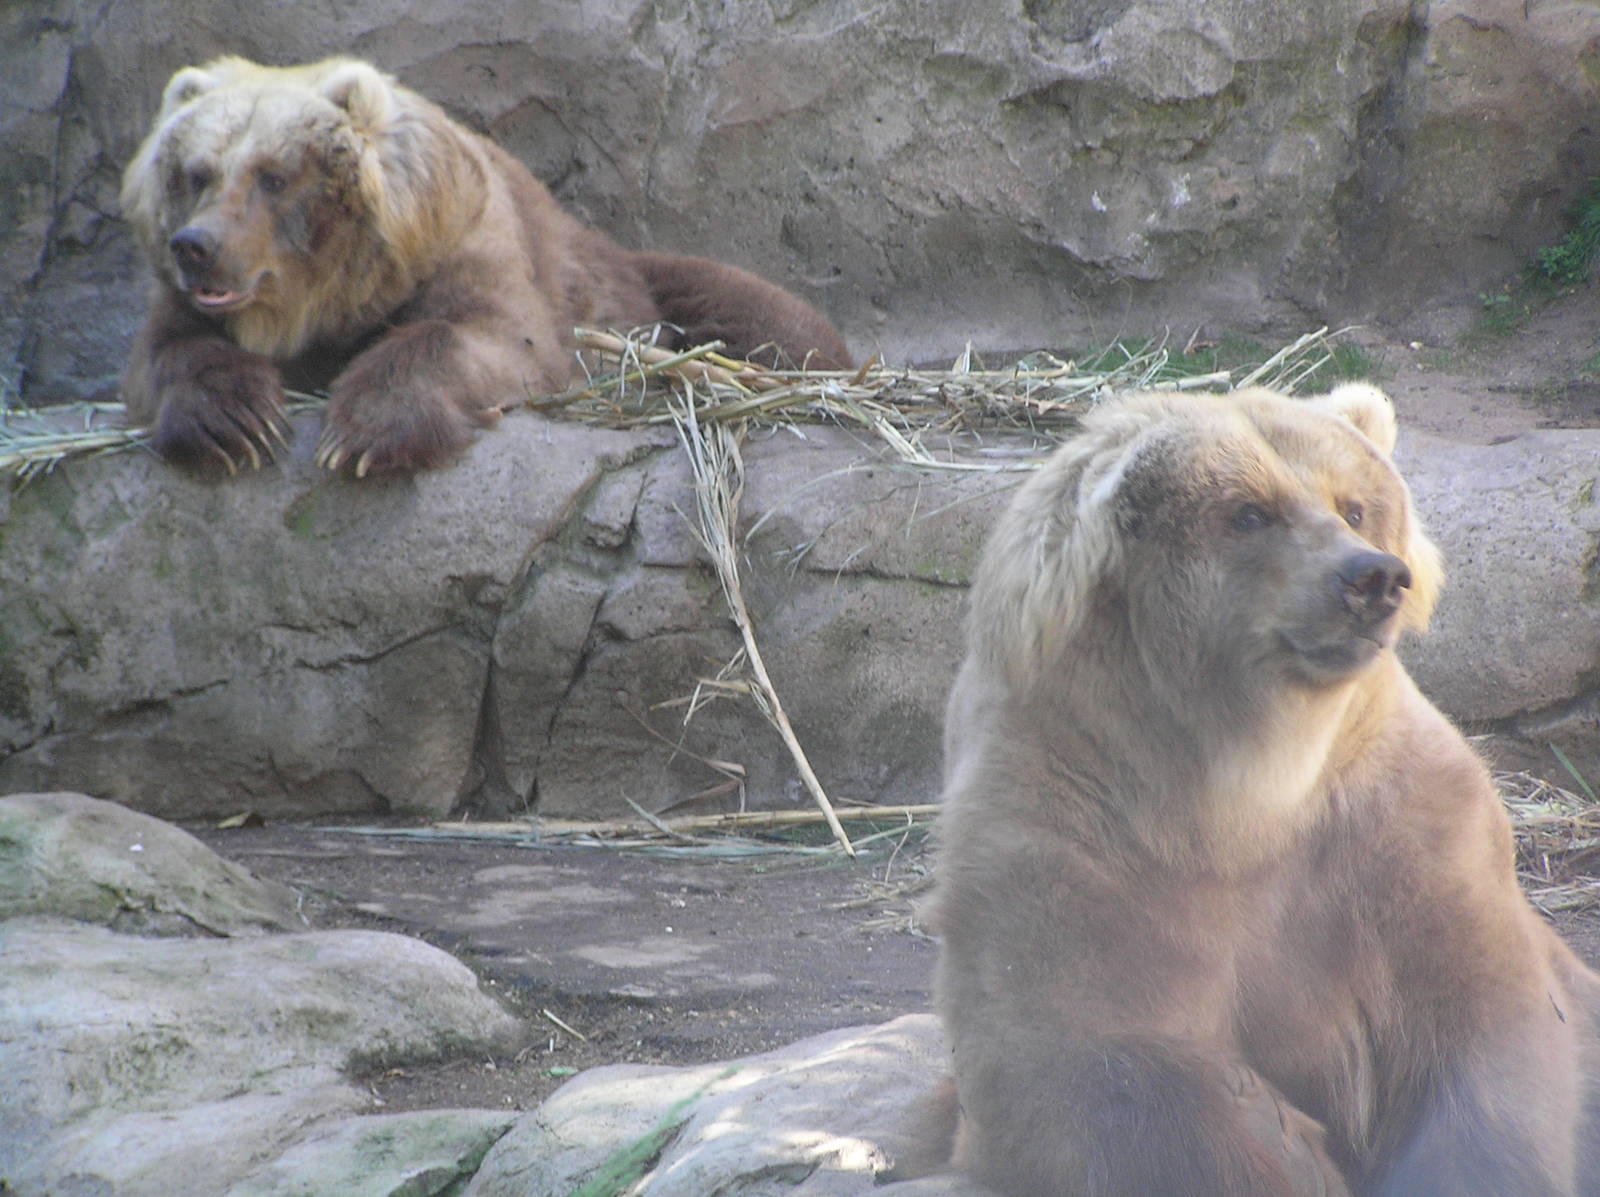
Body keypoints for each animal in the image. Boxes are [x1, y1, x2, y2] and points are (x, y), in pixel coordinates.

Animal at [118, 56, 852, 477]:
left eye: (272, 175)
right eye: (195, 172)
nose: (197, 245)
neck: (336, 297)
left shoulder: (469, 242)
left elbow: (490, 335)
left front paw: (367, 432)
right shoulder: (181, 303)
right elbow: (167, 352)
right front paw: (236, 420)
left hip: (647, 287)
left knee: (766, 321)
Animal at [927, 384, 1600, 1195]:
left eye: (1353, 506)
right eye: (1249, 512)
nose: (1372, 577)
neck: (1247, 783)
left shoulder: (1404, 832)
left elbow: (1481, 1034)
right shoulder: (1068, 837)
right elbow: (1094, 1061)